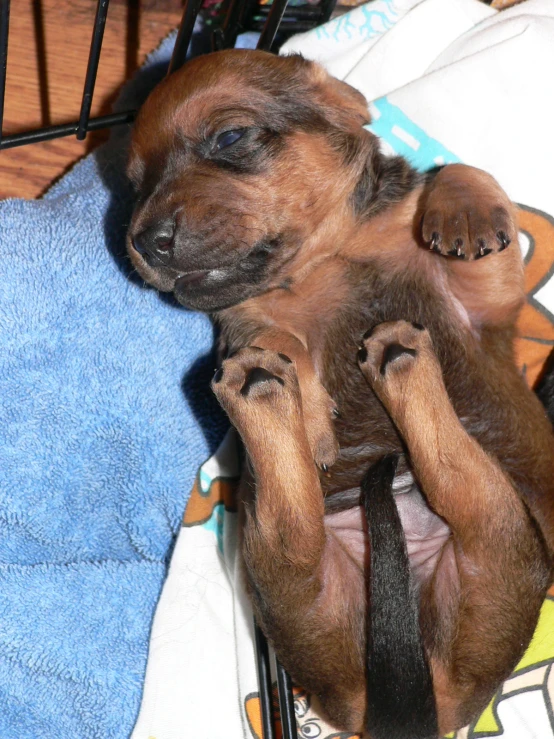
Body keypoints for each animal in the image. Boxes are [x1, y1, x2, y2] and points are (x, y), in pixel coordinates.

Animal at [125, 49, 552, 736]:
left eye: (230, 138)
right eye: (134, 183)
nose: (141, 241)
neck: (327, 257)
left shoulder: (487, 301)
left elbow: (463, 171)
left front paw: (463, 212)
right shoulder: (247, 323)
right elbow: (282, 338)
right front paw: (312, 416)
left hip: (503, 554)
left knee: (461, 484)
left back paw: (391, 363)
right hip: (288, 572)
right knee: (306, 518)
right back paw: (273, 391)